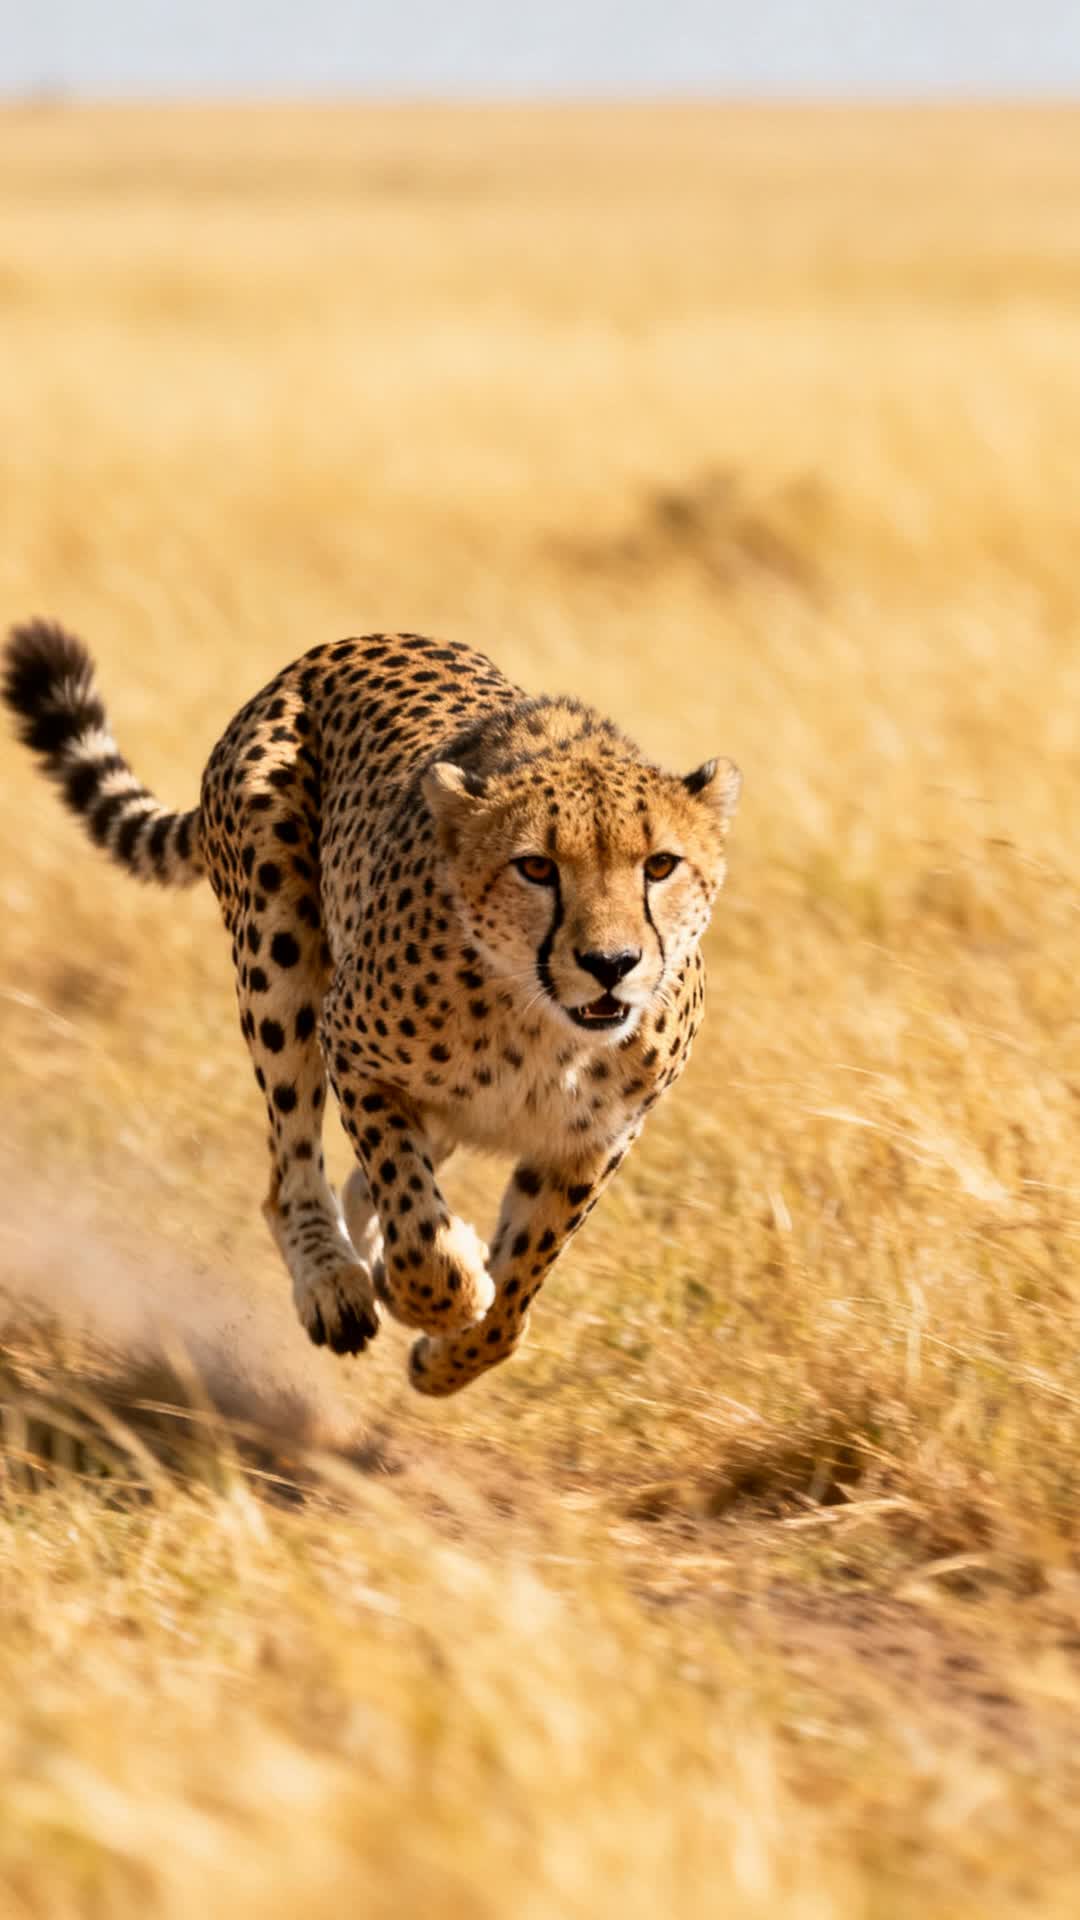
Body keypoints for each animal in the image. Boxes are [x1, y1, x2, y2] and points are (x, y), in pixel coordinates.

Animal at [3, 619, 740, 1395]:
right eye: (536, 867)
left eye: (660, 865)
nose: (611, 964)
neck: (542, 1020)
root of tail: (337, 648)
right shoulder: (354, 1050)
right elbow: (417, 1223)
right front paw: (441, 1291)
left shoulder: (595, 1138)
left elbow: (518, 1284)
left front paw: (447, 1358)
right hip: (276, 951)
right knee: (291, 1169)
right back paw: (335, 1286)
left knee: (362, 1182)